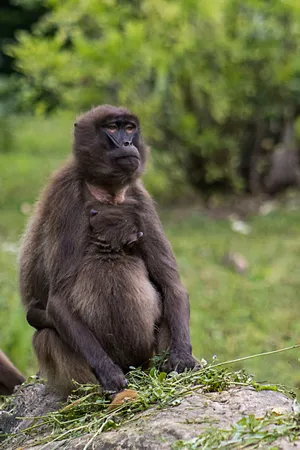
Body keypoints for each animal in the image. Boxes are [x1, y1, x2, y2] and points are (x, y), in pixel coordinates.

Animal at [19, 104, 197, 394]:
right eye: (112, 128)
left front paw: (182, 356)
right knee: (46, 335)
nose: (127, 143)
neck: (106, 192)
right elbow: (59, 299)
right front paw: (107, 372)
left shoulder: (140, 200)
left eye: (130, 128)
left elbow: (171, 285)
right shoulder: (66, 197)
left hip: (147, 358)